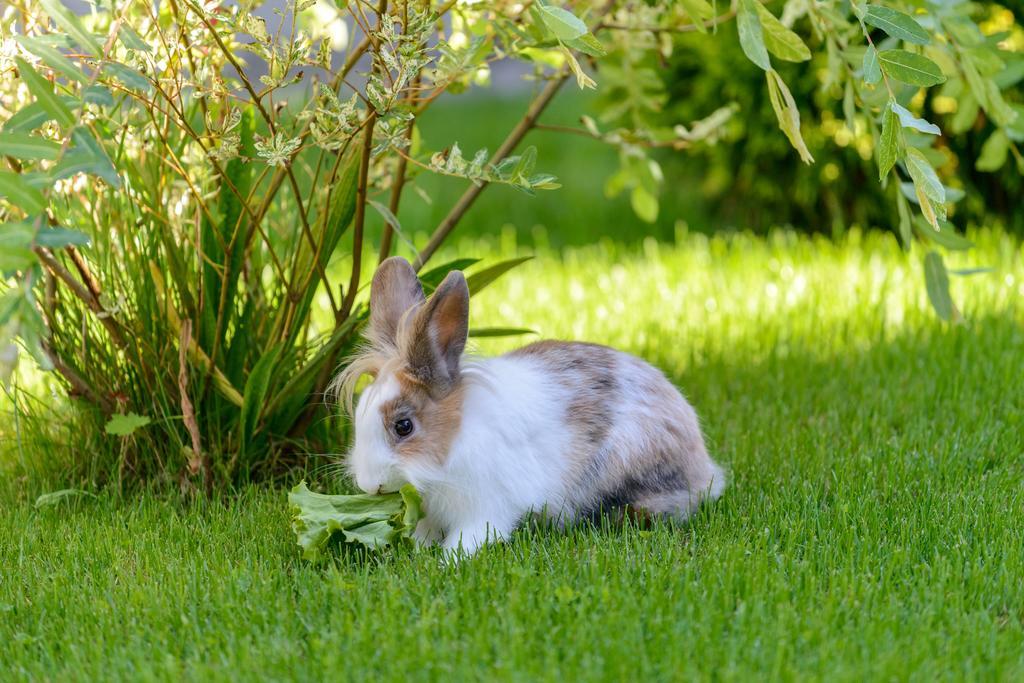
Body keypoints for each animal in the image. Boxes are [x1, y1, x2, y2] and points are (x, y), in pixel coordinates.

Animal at [331, 255, 724, 557]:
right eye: (360, 414)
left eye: (404, 426)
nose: (370, 485)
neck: (454, 437)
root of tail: (705, 466)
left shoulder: (487, 507)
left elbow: (470, 537)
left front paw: (448, 561)